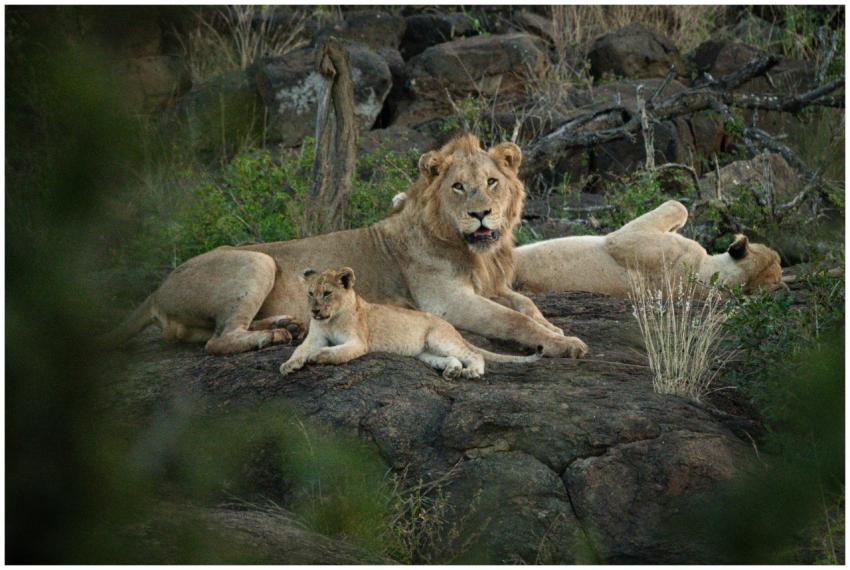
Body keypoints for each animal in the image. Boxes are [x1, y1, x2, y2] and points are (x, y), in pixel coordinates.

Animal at [111, 134, 587, 358]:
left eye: (491, 182)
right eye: (458, 187)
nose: (482, 214)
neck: (474, 251)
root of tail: (156, 289)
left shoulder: (492, 286)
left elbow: (527, 306)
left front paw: (556, 329)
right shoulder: (446, 302)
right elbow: (513, 320)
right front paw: (561, 344)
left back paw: (286, 324)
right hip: (256, 261)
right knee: (219, 339)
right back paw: (273, 336)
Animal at [280, 267, 541, 379]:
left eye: (327, 293)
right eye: (310, 293)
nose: (314, 311)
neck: (330, 319)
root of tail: (450, 326)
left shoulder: (358, 342)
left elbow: (336, 352)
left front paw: (319, 356)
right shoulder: (314, 337)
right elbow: (299, 349)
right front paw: (289, 365)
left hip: (438, 338)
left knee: (474, 354)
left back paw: (472, 372)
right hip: (424, 353)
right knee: (452, 358)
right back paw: (452, 371)